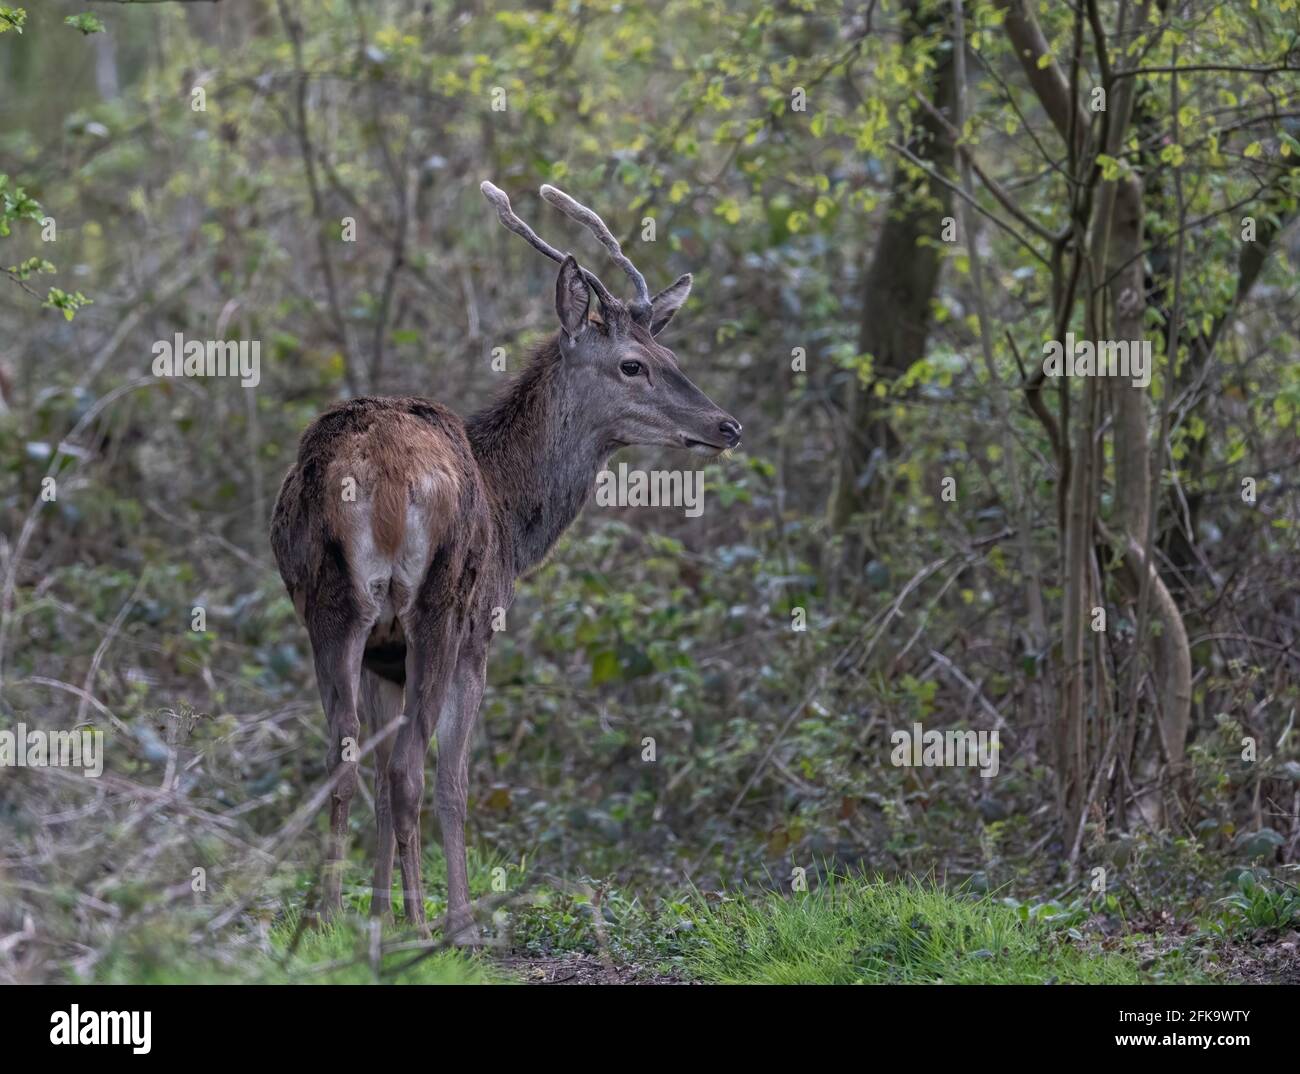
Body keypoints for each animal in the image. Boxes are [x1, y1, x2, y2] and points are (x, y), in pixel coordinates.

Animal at [270, 181, 741, 944]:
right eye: (632, 364)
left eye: (670, 354)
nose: (726, 425)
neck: (515, 515)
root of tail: (373, 470)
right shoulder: (477, 633)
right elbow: (453, 780)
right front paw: (452, 922)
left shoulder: (381, 657)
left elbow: (376, 778)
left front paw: (378, 915)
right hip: (434, 603)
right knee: (412, 771)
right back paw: (431, 927)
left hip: (331, 604)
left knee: (344, 761)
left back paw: (323, 919)